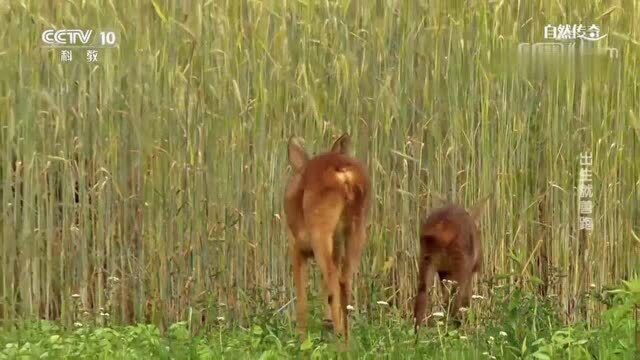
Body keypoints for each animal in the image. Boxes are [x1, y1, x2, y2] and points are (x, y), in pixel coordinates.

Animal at [284, 134, 370, 342]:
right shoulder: (336, 248)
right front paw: (326, 322)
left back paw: (338, 333)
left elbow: (302, 294)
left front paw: (300, 336)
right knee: (345, 279)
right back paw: (344, 334)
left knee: (333, 278)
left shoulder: (296, 248)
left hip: (320, 232)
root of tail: (343, 173)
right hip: (357, 228)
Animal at [412, 198, 488, 334]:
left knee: (423, 291)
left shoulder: (444, 271)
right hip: (461, 262)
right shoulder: (466, 269)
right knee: (456, 298)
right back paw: (456, 327)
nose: (479, 263)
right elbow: (465, 299)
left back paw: (416, 334)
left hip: (426, 258)